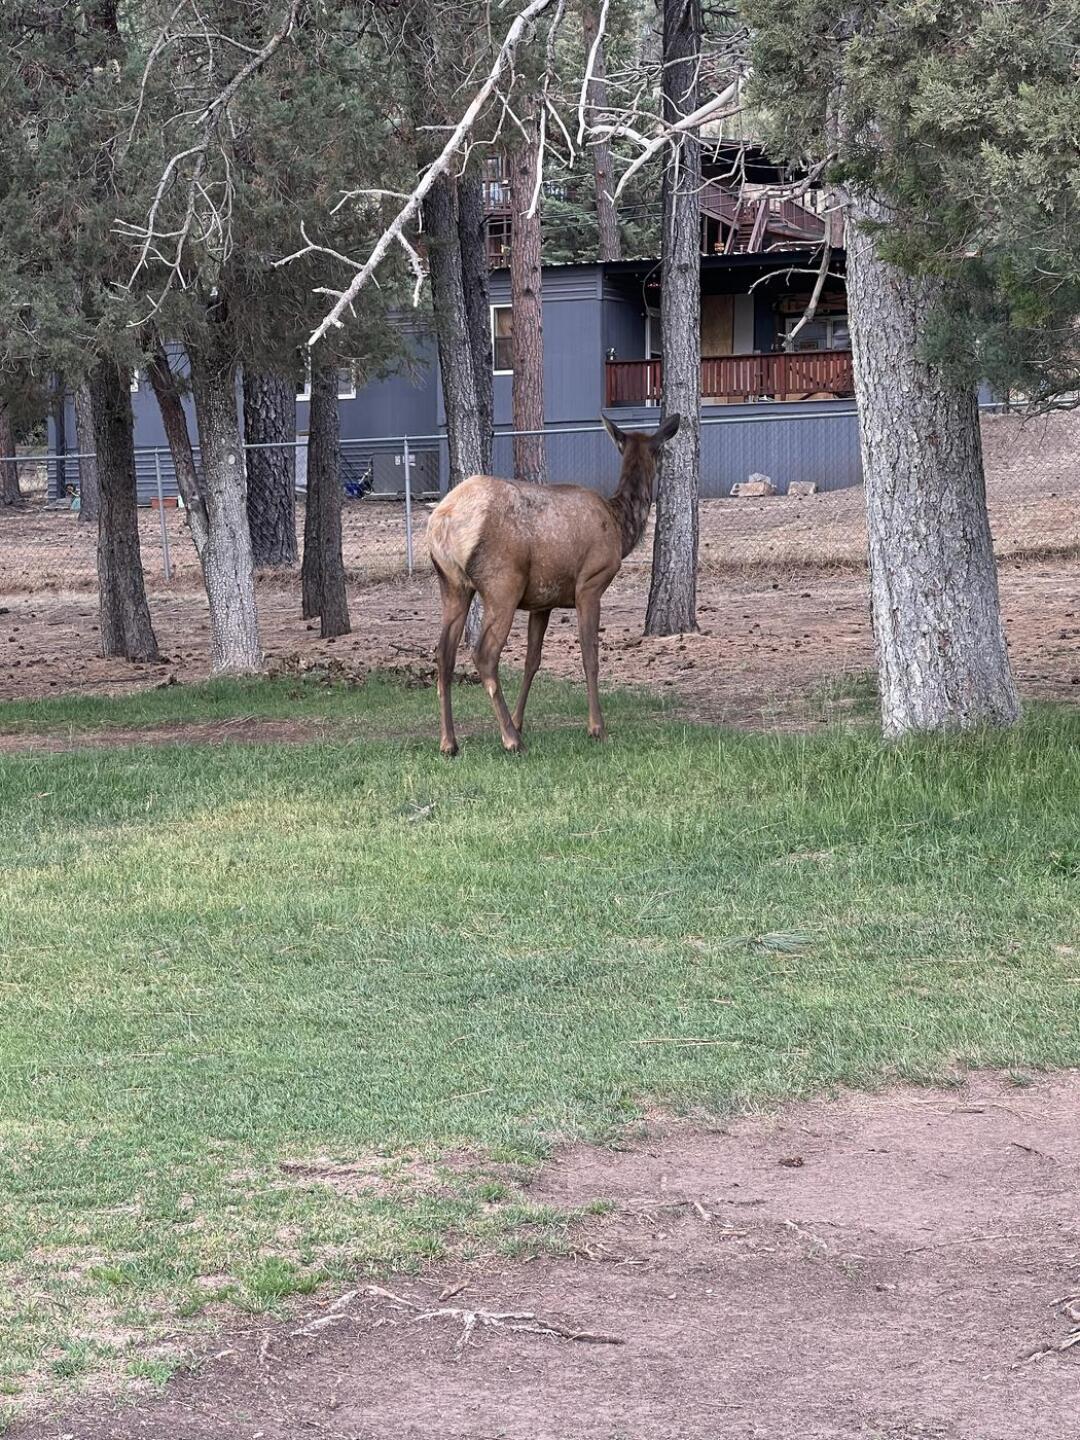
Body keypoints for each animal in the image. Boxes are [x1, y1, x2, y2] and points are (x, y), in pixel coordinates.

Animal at [427, 413, 681, 755]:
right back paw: (510, 739)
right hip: (503, 582)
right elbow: (590, 655)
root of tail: (443, 521)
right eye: (660, 451)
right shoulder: (590, 583)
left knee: (444, 653)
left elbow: (532, 661)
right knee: (485, 654)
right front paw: (596, 727)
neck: (619, 526)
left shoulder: (542, 601)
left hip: (452, 584)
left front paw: (520, 719)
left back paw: (449, 742)